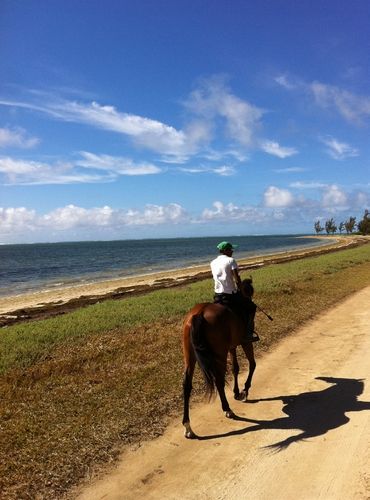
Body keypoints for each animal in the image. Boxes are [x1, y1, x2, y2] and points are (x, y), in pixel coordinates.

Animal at [181, 280, 256, 440]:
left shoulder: (232, 346)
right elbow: (252, 364)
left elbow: (235, 368)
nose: (252, 303)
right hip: (219, 353)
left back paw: (187, 426)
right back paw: (227, 409)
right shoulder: (245, 342)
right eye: (250, 292)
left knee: (187, 385)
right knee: (219, 380)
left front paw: (237, 392)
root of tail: (199, 313)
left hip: (190, 355)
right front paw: (244, 391)